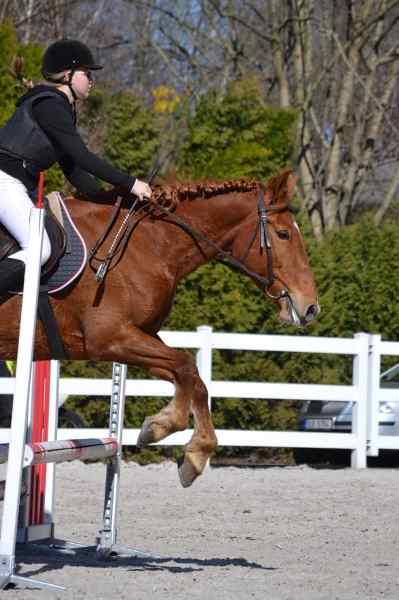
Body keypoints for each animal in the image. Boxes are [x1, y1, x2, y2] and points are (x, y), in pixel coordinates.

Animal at [0, 169, 318, 488]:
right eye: (284, 234)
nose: (310, 307)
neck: (149, 244)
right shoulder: (111, 339)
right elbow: (186, 365)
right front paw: (177, 437)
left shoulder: (139, 338)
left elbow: (192, 378)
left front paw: (173, 438)